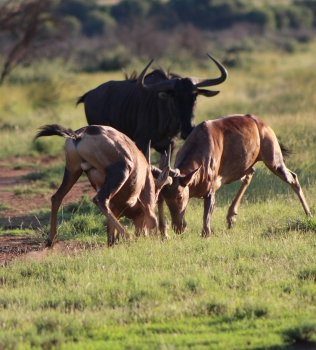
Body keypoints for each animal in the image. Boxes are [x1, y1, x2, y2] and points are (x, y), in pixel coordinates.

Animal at [34, 124, 170, 247]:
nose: (142, 233)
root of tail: (80, 135)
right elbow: (152, 220)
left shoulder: (115, 207)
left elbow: (110, 236)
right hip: (120, 172)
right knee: (99, 199)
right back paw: (129, 238)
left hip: (72, 171)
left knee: (57, 197)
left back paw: (51, 240)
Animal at [160, 113, 312, 237]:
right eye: (165, 197)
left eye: (179, 196)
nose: (178, 228)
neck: (201, 141)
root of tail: (260, 122)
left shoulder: (211, 190)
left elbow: (207, 215)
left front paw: (205, 233)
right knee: (250, 174)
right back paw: (231, 217)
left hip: (274, 161)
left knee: (292, 178)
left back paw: (309, 215)